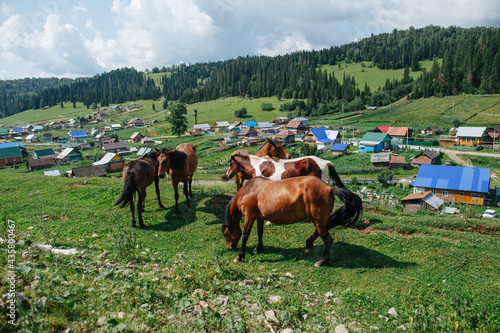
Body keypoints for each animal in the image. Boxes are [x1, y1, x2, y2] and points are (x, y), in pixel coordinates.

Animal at [224, 176, 364, 268]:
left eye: (226, 233)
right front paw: (259, 249)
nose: (229, 248)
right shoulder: (259, 217)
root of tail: (329, 188)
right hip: (319, 221)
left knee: (327, 239)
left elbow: (245, 236)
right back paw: (312, 248)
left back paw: (321, 261)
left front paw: (239, 256)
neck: (249, 190)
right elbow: (260, 232)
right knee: (321, 233)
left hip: (317, 220)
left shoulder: (249, 216)